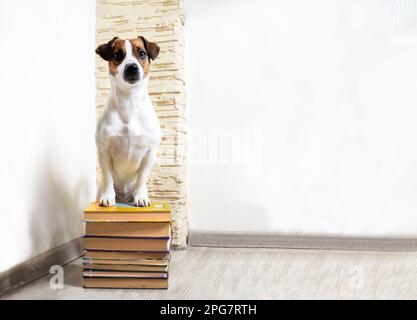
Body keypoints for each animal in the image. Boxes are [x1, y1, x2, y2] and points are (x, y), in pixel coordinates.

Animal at [95, 35, 160, 208]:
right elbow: (107, 176)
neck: (129, 101)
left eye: (142, 53)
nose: (132, 67)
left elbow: (142, 178)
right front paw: (108, 197)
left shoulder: (150, 152)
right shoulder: (104, 151)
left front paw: (141, 197)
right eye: (117, 55)